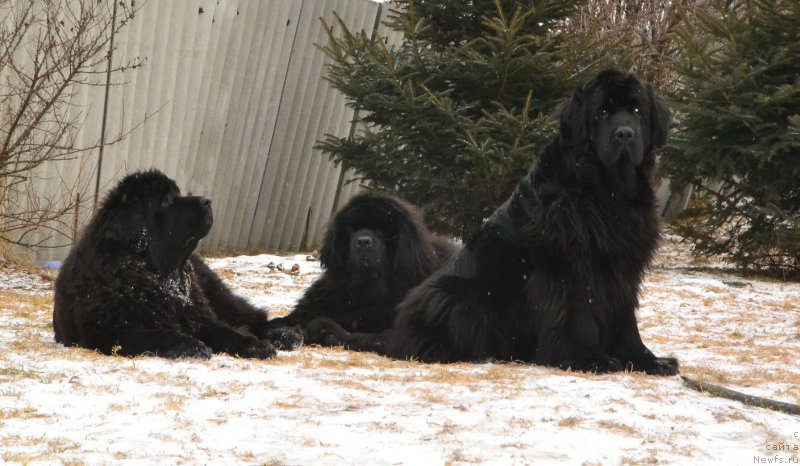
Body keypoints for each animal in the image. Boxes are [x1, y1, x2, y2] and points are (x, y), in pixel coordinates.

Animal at [51, 169, 300, 358]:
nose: (207, 201)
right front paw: (190, 345)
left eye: (178, 194)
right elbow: (157, 334)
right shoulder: (110, 331)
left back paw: (285, 335)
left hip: (217, 295)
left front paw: (254, 345)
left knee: (250, 317)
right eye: (168, 200)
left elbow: (227, 332)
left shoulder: (201, 318)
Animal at [310, 69, 680, 374]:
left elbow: (625, 319)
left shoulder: (623, 265)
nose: (625, 134)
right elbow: (578, 314)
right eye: (602, 112)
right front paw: (588, 359)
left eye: (636, 111)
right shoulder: (567, 266)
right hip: (454, 298)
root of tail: (397, 331)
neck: (607, 192)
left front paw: (646, 360)